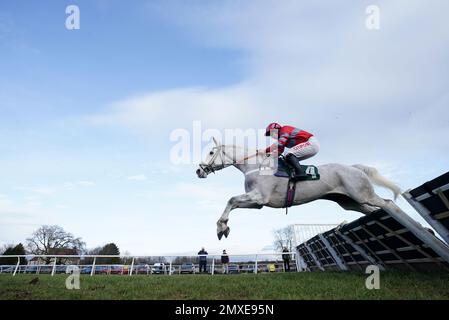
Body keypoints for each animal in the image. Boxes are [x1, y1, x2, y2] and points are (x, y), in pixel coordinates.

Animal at [196, 140, 449, 262]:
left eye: (211, 152)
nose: (199, 170)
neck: (255, 165)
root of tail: (354, 168)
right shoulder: (257, 203)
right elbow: (232, 202)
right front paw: (223, 227)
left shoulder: (259, 197)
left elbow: (230, 200)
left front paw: (221, 228)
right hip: (350, 201)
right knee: (372, 210)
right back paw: (426, 231)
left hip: (362, 194)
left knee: (388, 204)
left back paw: (428, 236)